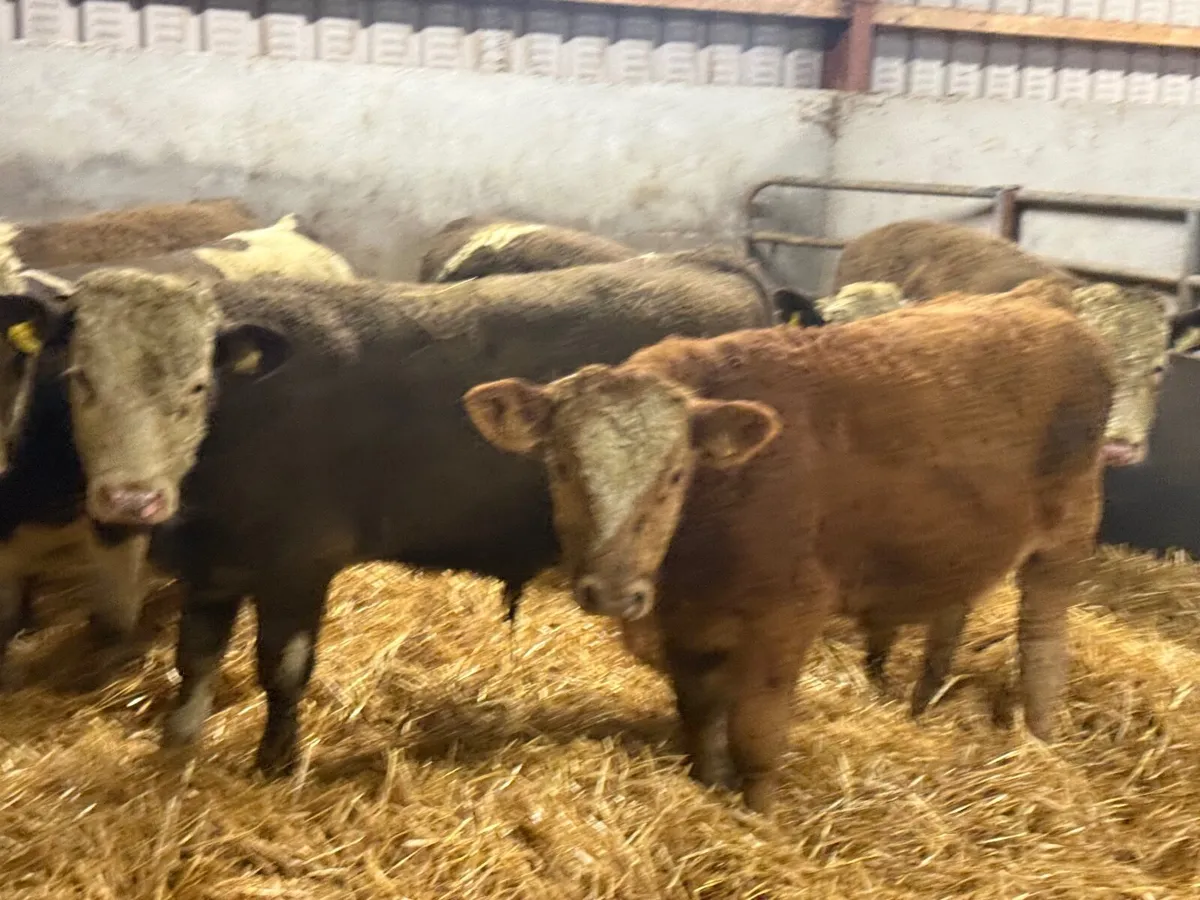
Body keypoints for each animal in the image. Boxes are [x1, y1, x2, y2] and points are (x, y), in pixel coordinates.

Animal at [42, 249, 793, 772]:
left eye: (198, 385)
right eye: (79, 379)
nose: (131, 498)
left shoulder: (298, 563)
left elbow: (282, 669)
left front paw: (276, 762)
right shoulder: (214, 568)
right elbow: (195, 658)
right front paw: (178, 746)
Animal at [462, 278, 1115, 814]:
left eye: (676, 474)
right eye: (561, 465)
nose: (615, 592)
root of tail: (1039, 297)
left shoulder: (787, 615)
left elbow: (757, 732)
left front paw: (758, 818)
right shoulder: (687, 630)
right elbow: (700, 719)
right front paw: (711, 788)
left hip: (1066, 536)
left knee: (1043, 645)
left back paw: (1039, 741)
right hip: (960, 542)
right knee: (951, 615)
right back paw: (924, 705)